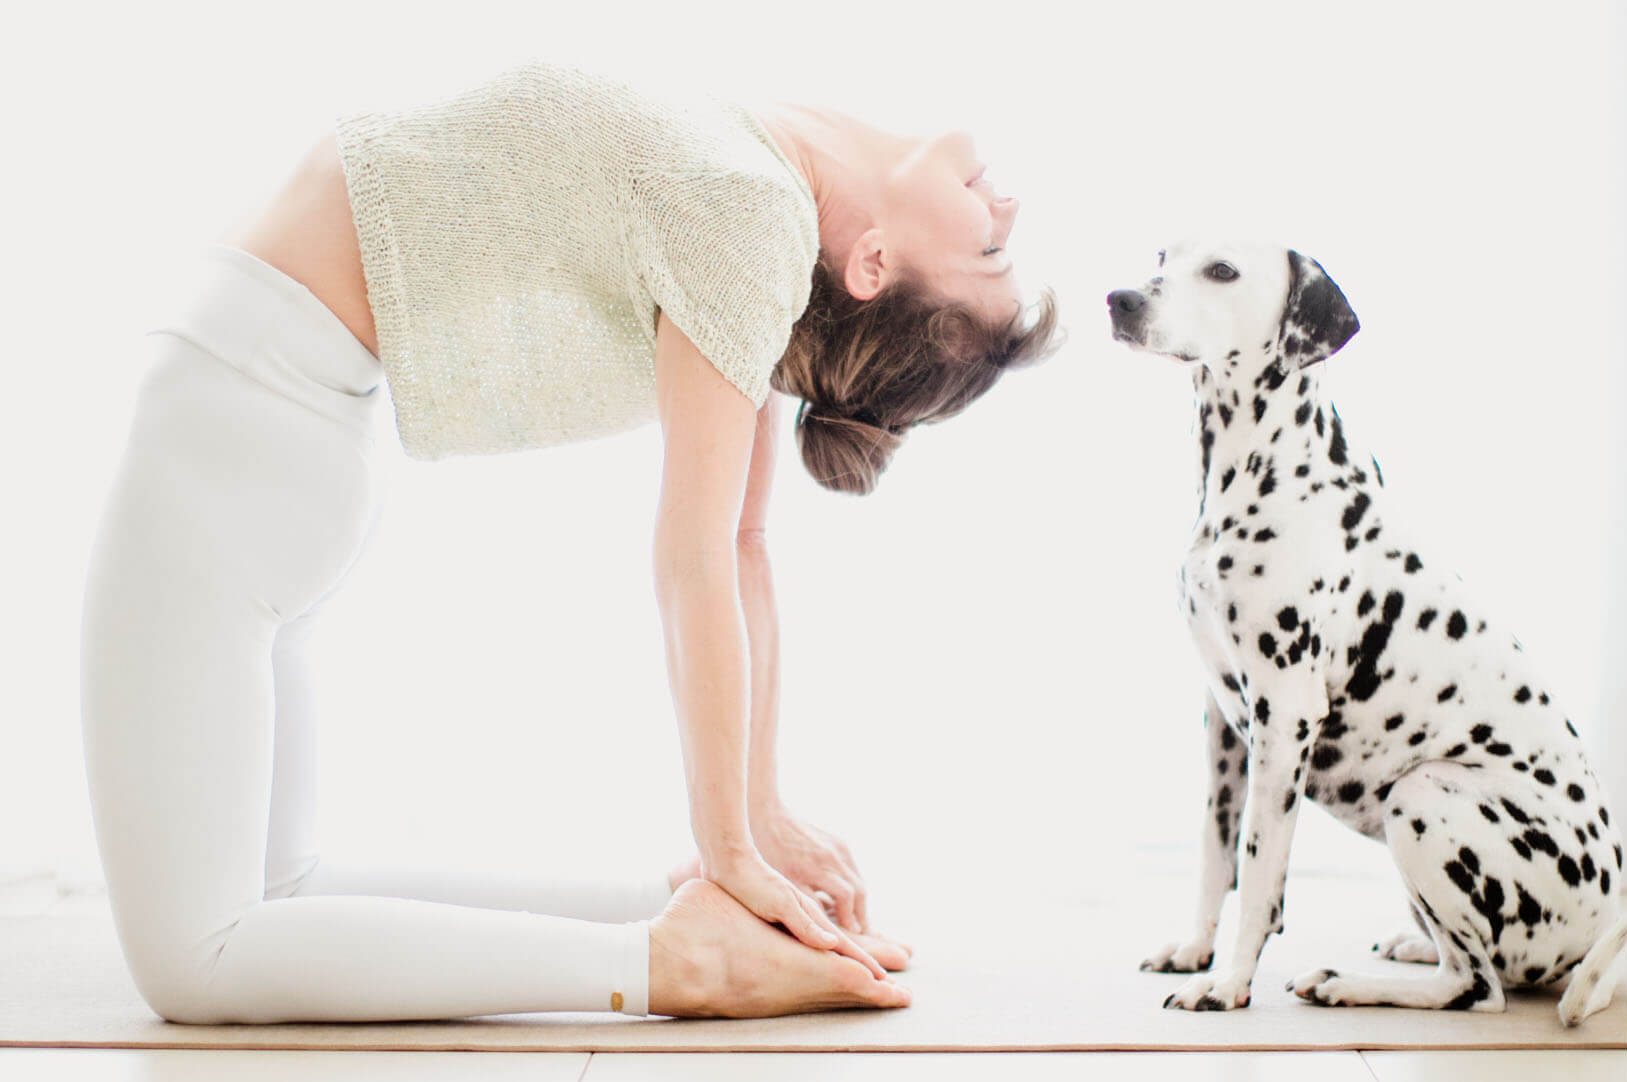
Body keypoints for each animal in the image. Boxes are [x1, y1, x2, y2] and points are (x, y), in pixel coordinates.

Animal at [1106, 240, 1627, 1028]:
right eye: (1162, 254)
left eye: (1222, 271)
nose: (1120, 300)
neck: (1258, 472)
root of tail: (1606, 925)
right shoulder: (1223, 721)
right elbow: (1214, 854)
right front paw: (1195, 950)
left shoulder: (1283, 718)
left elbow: (1258, 868)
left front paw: (1228, 984)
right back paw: (1405, 948)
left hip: (1419, 796)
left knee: (1477, 987)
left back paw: (1347, 984)